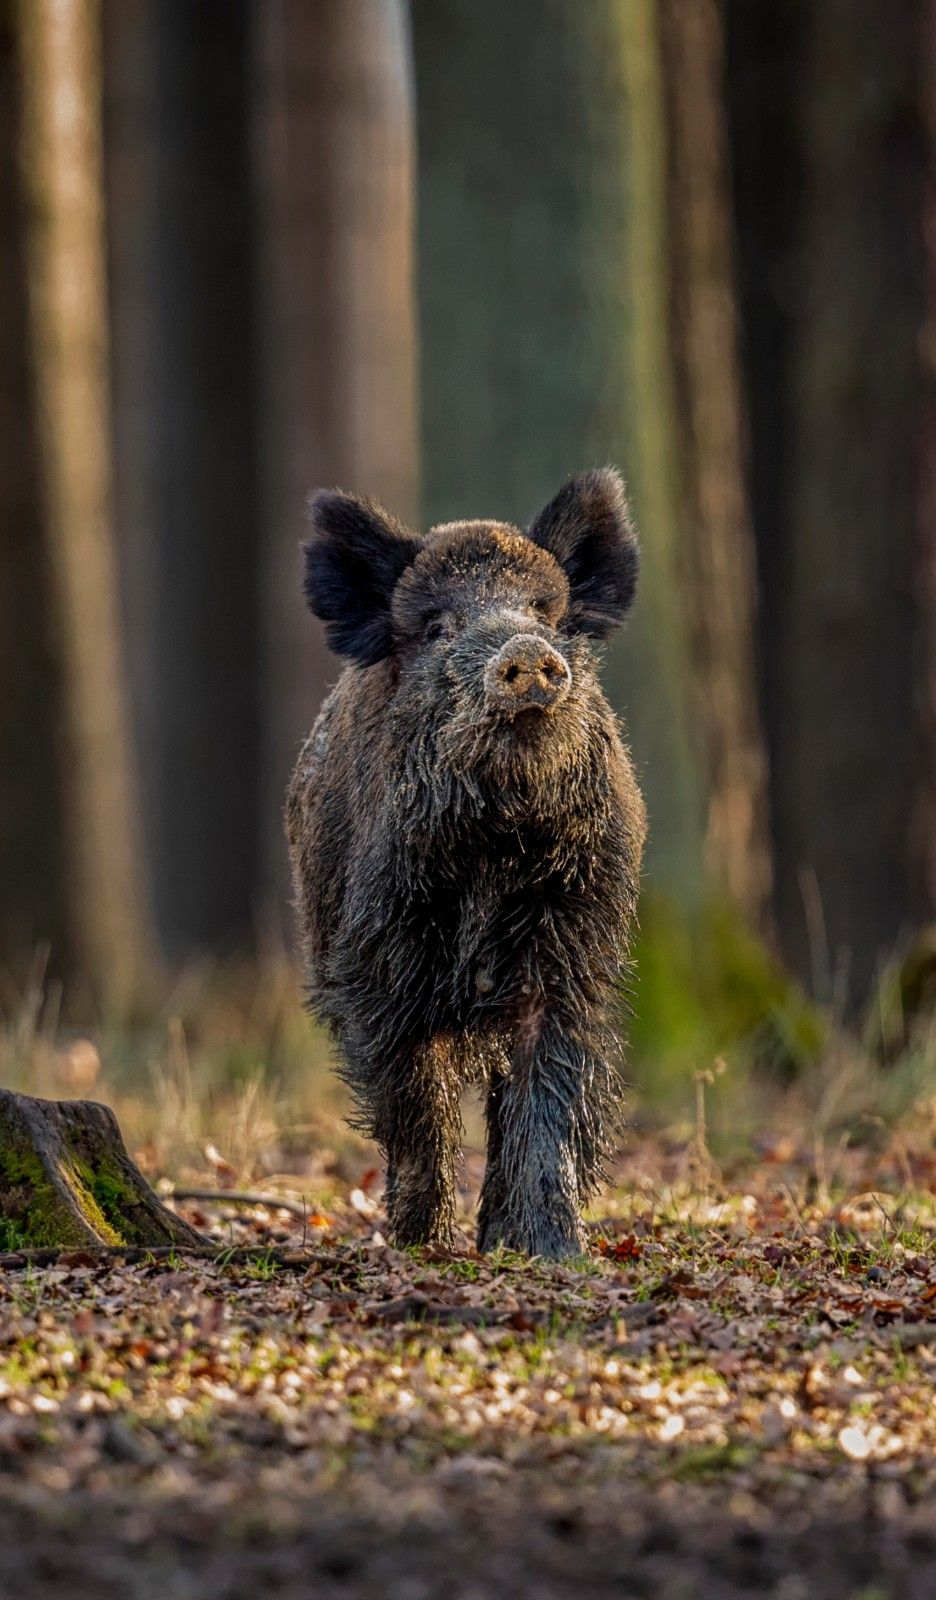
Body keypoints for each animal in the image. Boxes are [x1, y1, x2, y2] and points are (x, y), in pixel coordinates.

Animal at [286, 469, 646, 1259]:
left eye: (545, 612)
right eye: (437, 627)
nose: (528, 654)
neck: (495, 845)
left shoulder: (571, 941)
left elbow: (547, 1088)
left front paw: (551, 1251)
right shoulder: (382, 960)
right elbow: (417, 1100)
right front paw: (420, 1242)